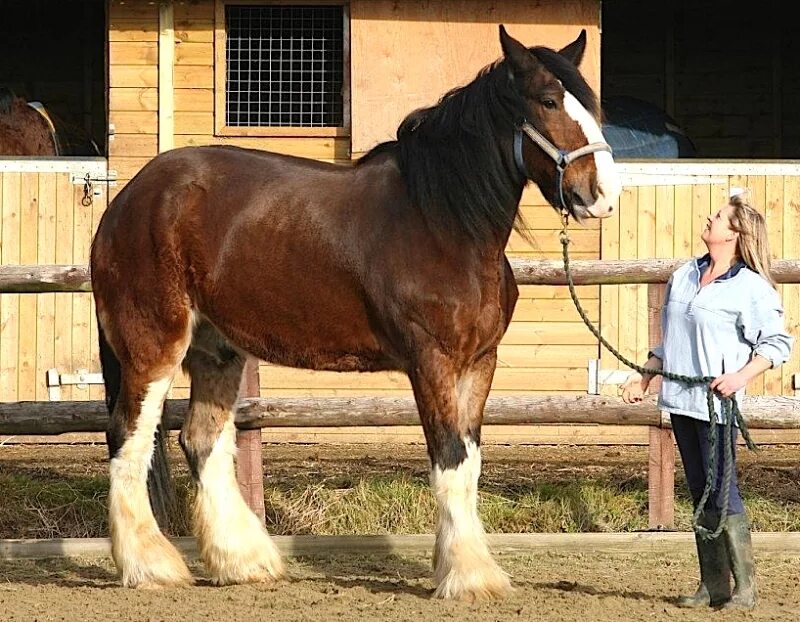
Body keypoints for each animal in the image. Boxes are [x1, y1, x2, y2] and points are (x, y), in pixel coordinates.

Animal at [90, 26, 620, 604]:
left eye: (591, 104)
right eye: (548, 101)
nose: (602, 195)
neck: (443, 221)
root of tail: (128, 201)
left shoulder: (480, 363)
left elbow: (469, 463)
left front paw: (461, 565)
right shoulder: (431, 361)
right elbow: (449, 458)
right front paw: (469, 574)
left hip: (217, 351)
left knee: (201, 441)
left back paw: (243, 560)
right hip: (154, 346)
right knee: (128, 439)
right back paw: (149, 566)